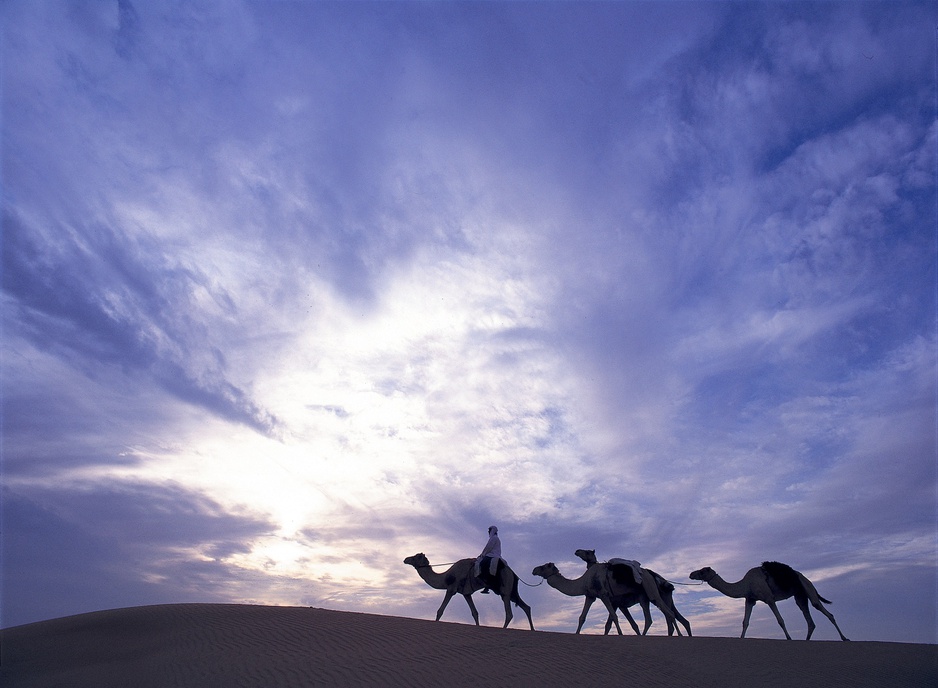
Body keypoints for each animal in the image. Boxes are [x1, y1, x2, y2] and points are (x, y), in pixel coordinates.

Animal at [402, 552, 532, 628]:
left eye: (416, 557)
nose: (405, 559)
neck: (447, 577)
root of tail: (513, 573)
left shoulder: (451, 589)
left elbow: (440, 611)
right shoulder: (466, 593)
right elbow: (475, 613)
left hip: (505, 589)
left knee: (509, 613)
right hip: (510, 591)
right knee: (526, 607)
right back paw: (532, 630)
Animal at [688, 560, 848, 644]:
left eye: (702, 571)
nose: (691, 574)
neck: (746, 584)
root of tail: (804, 578)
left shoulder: (769, 598)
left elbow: (780, 620)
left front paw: (789, 638)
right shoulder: (750, 600)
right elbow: (745, 622)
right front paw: (741, 638)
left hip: (808, 588)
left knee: (824, 611)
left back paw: (845, 638)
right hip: (800, 595)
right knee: (808, 617)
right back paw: (807, 640)